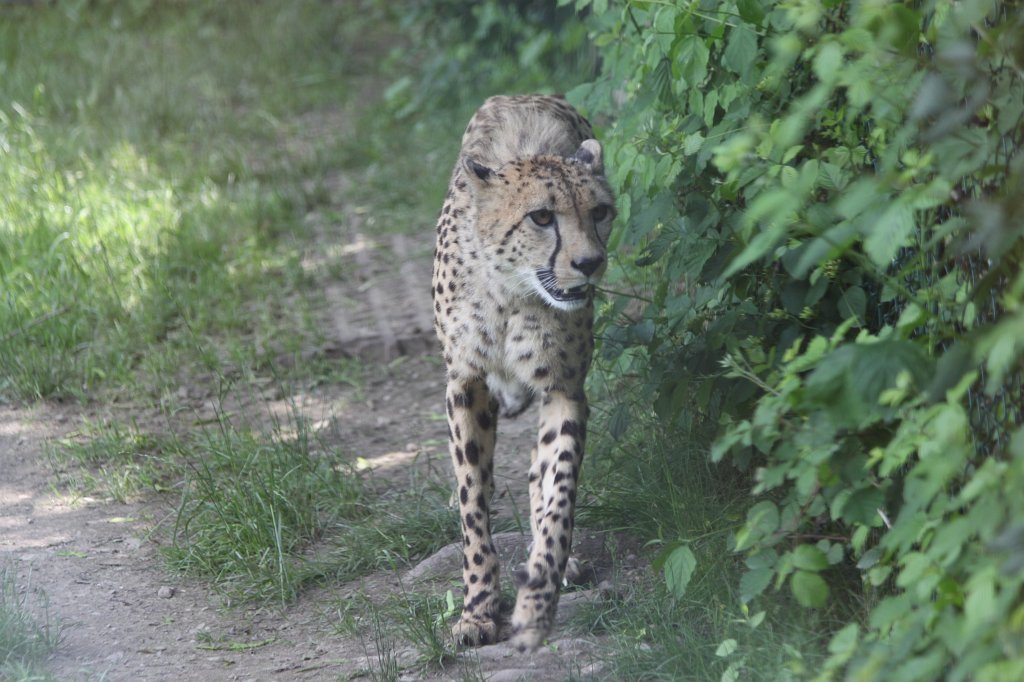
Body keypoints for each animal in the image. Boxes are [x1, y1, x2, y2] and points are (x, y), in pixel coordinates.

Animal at [431, 94, 615, 652]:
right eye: (541, 217)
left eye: (599, 212)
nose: (590, 263)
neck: (514, 295)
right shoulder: (465, 385)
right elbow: (473, 505)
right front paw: (476, 609)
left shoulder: (564, 388)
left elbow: (559, 492)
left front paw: (539, 594)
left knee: (539, 471)